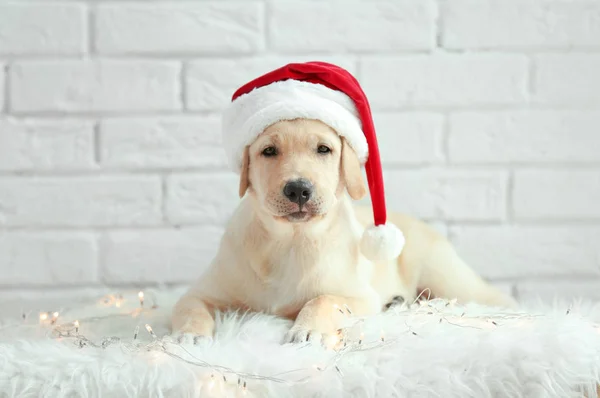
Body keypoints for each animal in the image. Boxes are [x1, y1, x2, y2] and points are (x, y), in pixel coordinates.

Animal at [171, 117, 516, 342]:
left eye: (324, 149)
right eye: (268, 151)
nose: (298, 190)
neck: (290, 241)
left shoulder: (359, 296)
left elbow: (324, 299)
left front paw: (307, 328)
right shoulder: (202, 292)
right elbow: (189, 308)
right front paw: (190, 336)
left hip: (447, 277)